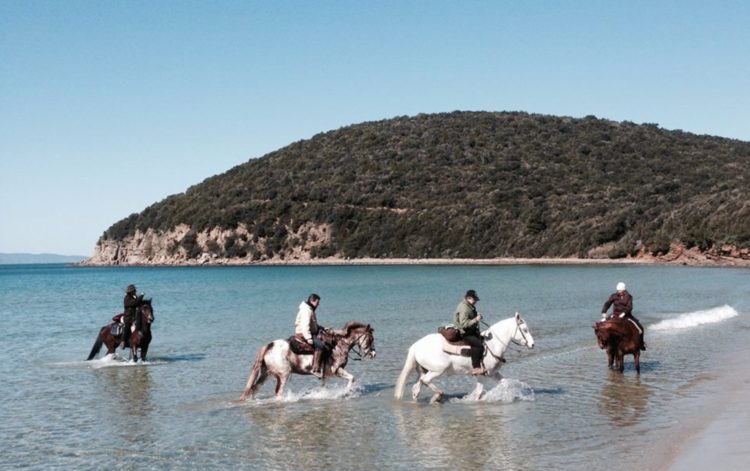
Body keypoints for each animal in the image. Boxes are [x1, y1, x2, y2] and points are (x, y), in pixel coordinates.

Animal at [239, 320, 376, 402]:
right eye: (371, 339)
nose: (374, 354)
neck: (339, 345)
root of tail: (268, 346)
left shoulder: (326, 374)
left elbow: (324, 387)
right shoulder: (337, 370)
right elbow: (352, 378)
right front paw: (345, 393)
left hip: (265, 374)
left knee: (254, 388)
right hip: (283, 375)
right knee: (278, 393)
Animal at [394, 314, 536, 402]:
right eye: (525, 329)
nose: (532, 344)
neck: (493, 344)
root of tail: (415, 346)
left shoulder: (493, 373)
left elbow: (505, 383)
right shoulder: (482, 375)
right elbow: (478, 394)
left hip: (424, 370)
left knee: (417, 387)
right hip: (438, 370)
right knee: (425, 381)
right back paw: (438, 396)